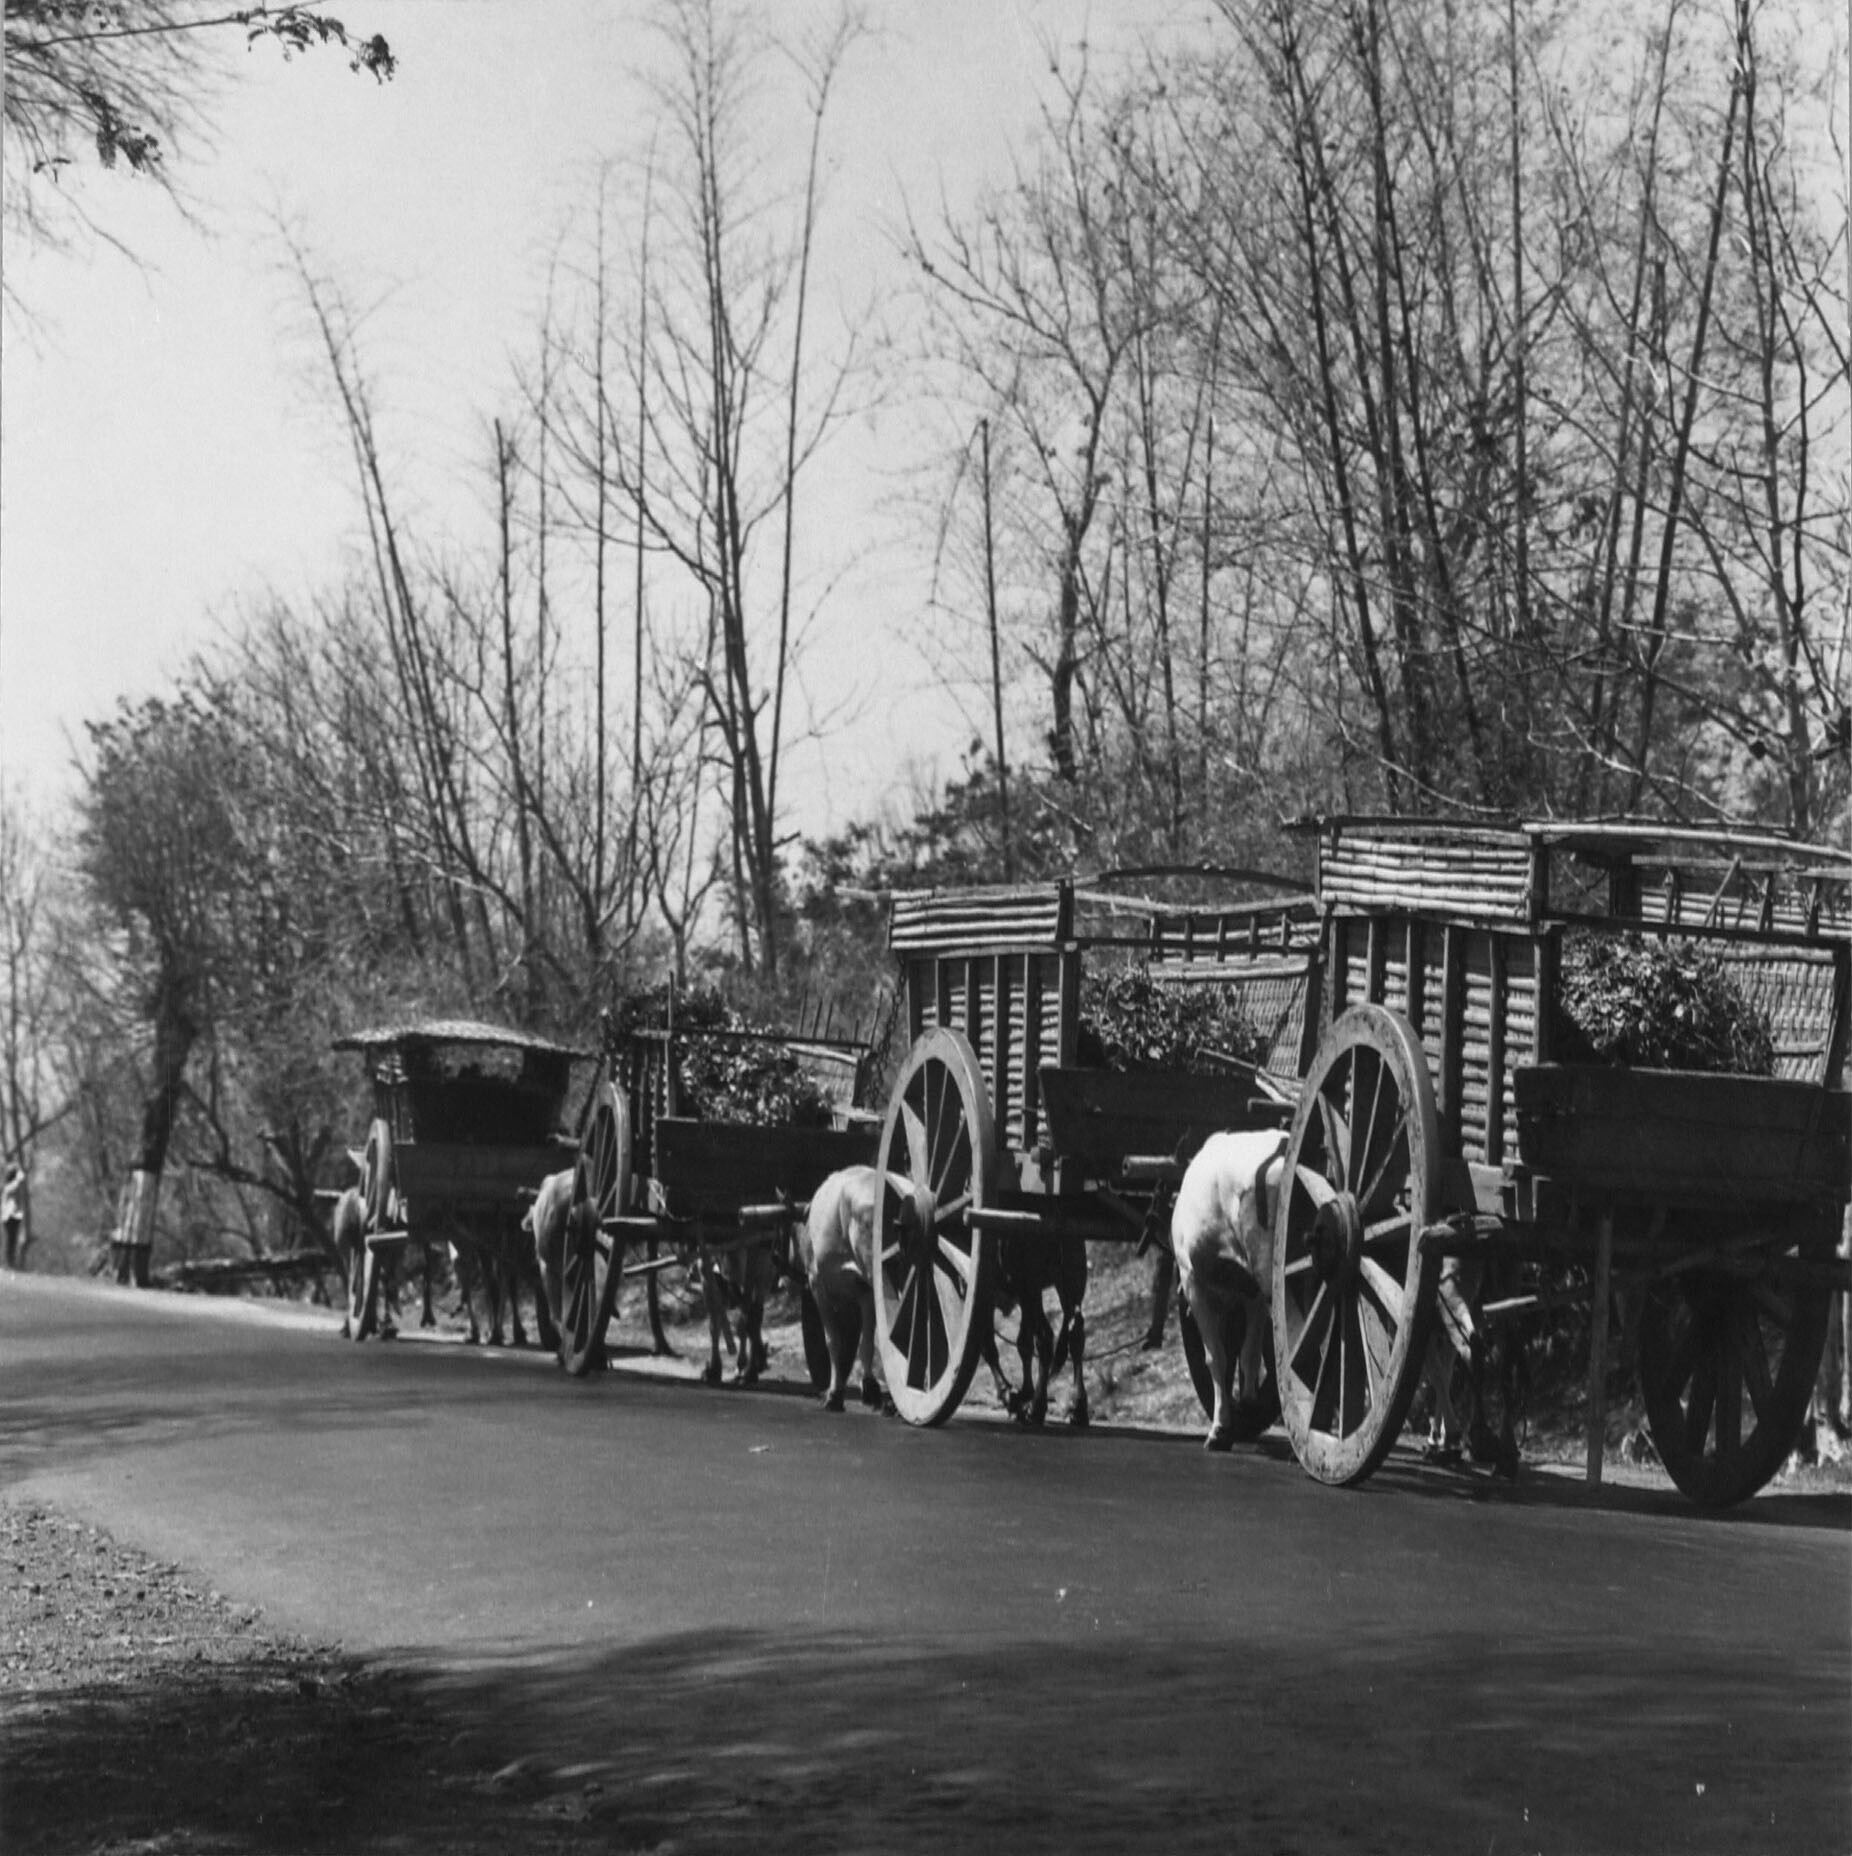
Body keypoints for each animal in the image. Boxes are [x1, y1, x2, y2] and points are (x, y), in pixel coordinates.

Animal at [1170, 1128, 1288, 1451]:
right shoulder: (1251, 1295)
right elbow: (1247, 1353)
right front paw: (1245, 1406)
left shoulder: (1194, 1282)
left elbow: (1218, 1358)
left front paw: (1221, 1428)